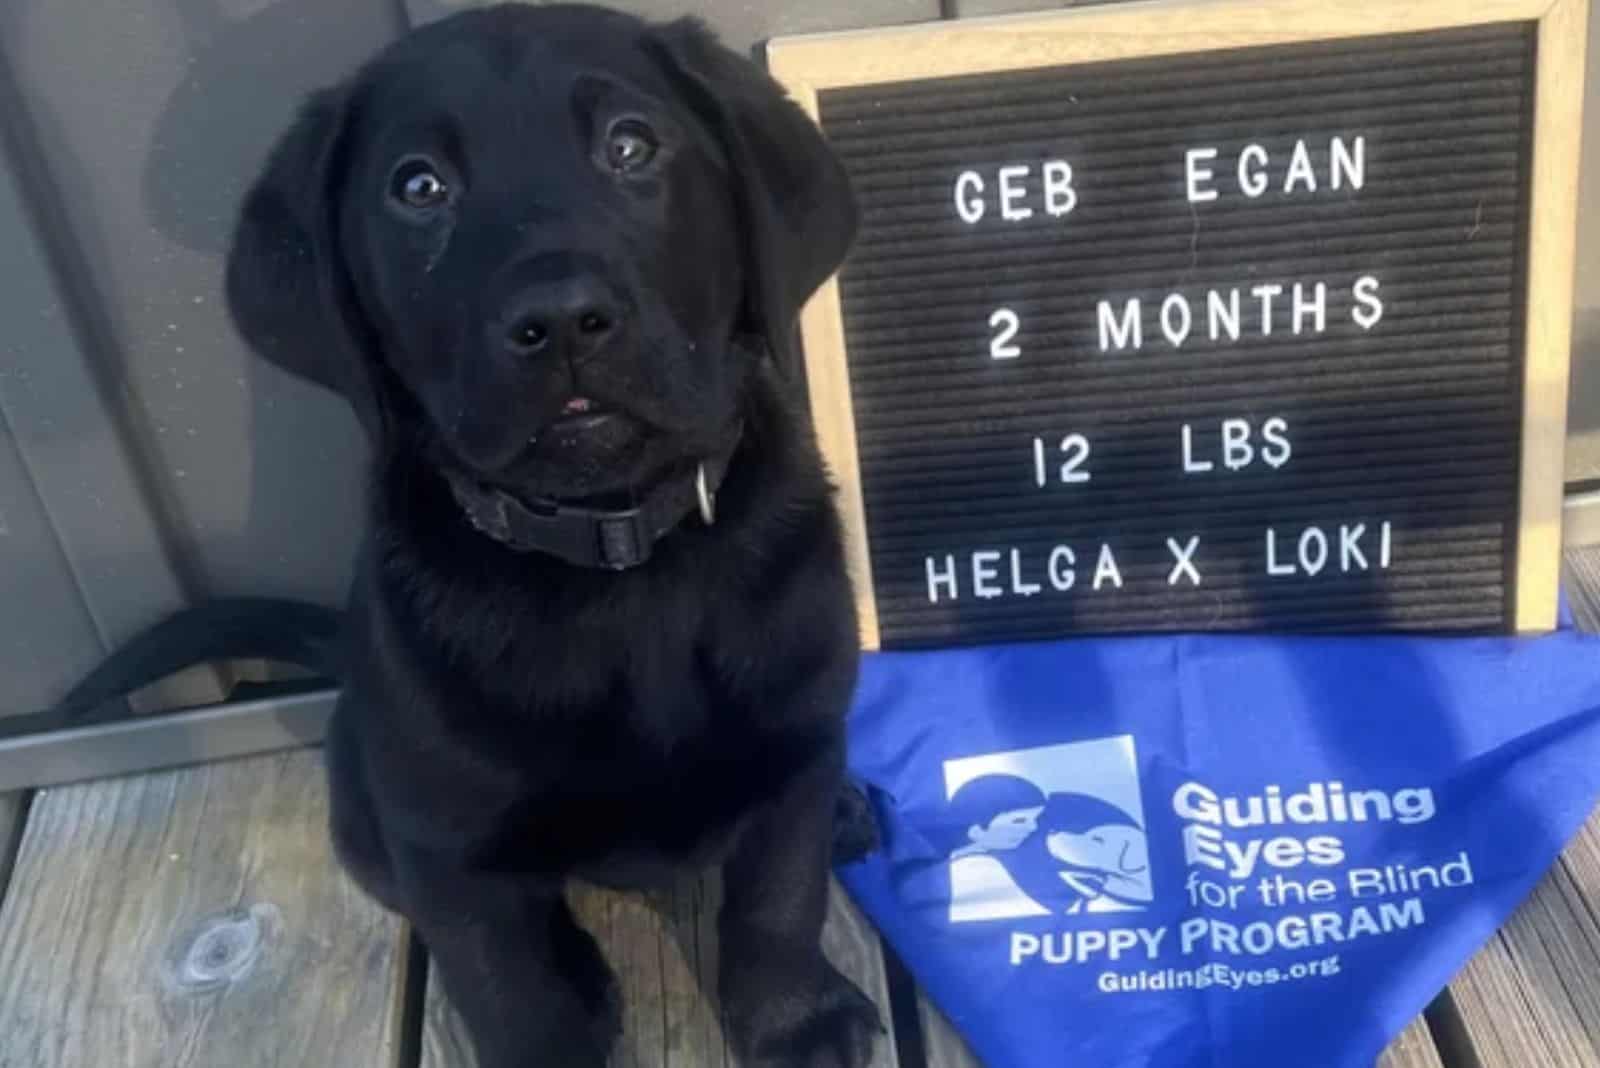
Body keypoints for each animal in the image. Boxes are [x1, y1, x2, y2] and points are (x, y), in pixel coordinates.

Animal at [62, 4, 883, 1061]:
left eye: (631, 145)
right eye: (420, 187)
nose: (562, 319)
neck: (620, 562)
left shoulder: (795, 744)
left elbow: (778, 899)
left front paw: (797, 1019)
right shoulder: (447, 847)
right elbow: (507, 983)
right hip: (371, 810)